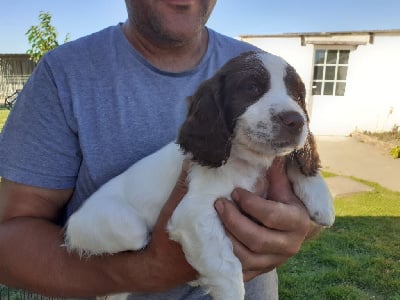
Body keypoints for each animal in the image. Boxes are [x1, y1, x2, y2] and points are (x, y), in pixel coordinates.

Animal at [65, 51, 334, 300]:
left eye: (298, 95)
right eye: (252, 88)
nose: (296, 121)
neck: (244, 161)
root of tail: (72, 223)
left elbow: (294, 162)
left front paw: (322, 201)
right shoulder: (193, 213)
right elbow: (225, 265)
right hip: (126, 229)